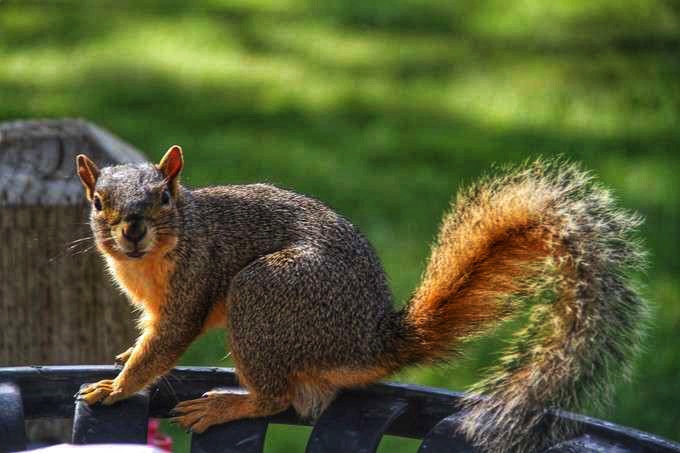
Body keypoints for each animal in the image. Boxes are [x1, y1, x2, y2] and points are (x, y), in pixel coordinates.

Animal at [74, 147, 648, 450]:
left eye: (163, 197)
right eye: (98, 201)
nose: (132, 230)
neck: (147, 261)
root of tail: (368, 344)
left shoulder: (193, 285)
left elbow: (165, 346)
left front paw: (115, 388)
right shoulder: (152, 304)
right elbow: (147, 341)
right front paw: (124, 356)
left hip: (262, 294)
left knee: (278, 398)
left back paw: (225, 405)